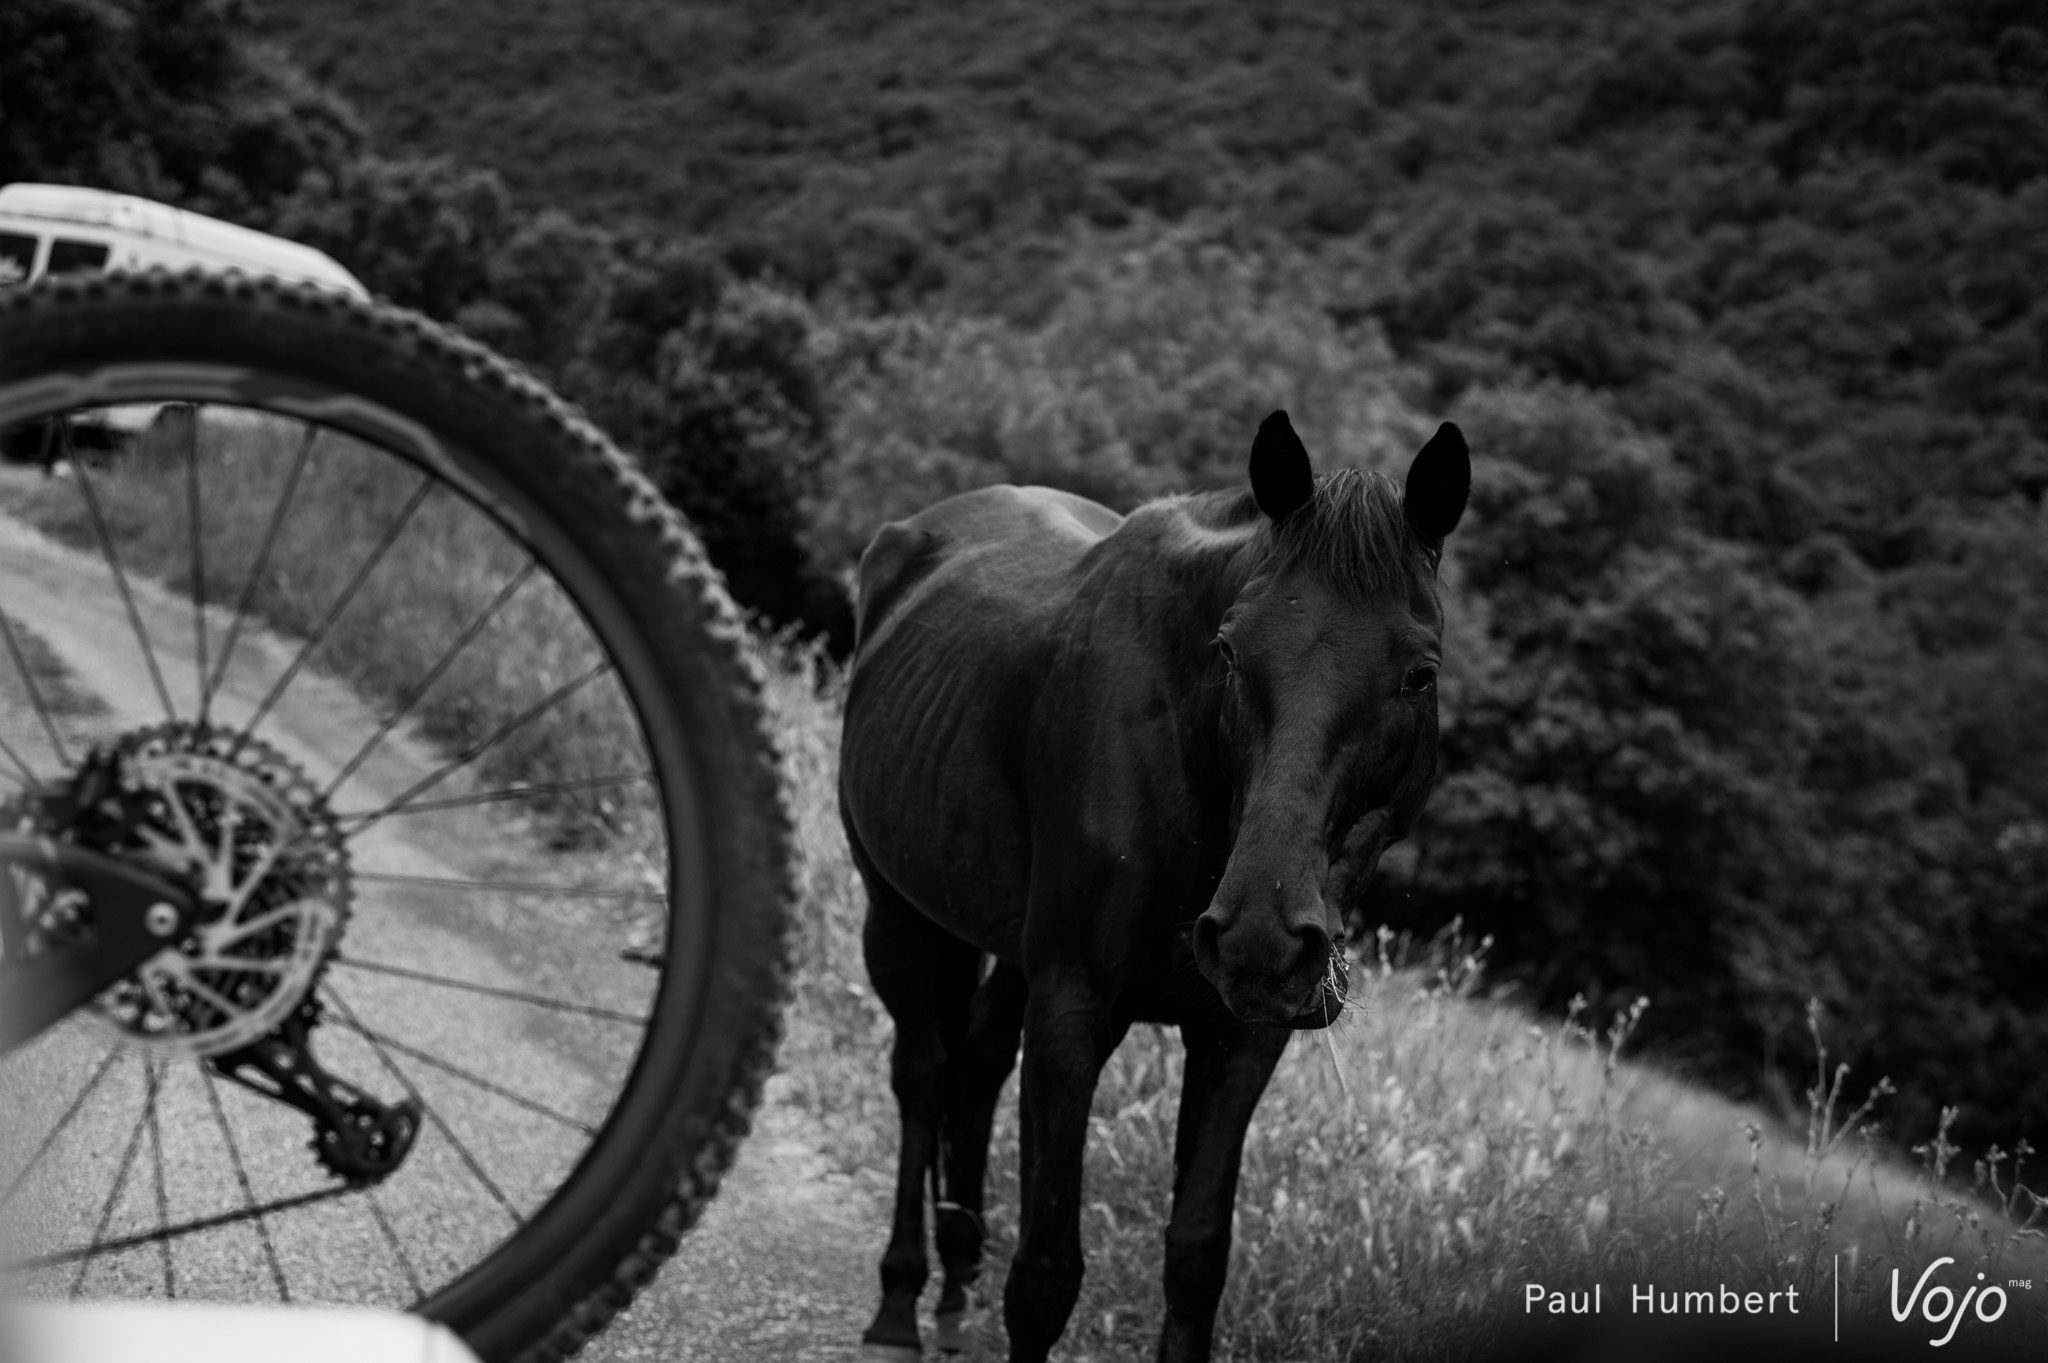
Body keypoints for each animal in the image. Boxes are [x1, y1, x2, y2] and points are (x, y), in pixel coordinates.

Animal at [839, 411, 1470, 1362]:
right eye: (1231, 649)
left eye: (1419, 672)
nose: (1258, 941)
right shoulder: (1073, 1010)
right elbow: (1046, 1274)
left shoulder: (1240, 1040)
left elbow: (1197, 1260)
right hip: (899, 915)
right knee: (921, 1074)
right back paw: (900, 1299)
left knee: (976, 1064)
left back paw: (953, 1282)